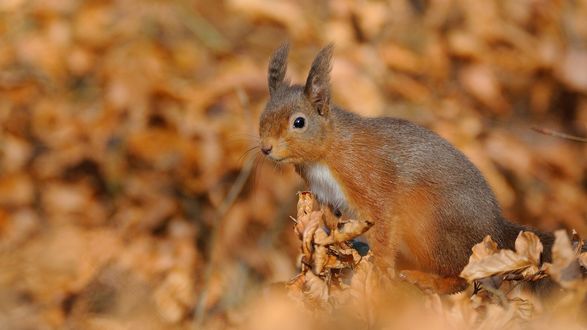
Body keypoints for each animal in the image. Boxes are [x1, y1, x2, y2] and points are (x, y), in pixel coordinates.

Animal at [258, 43, 556, 294]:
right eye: (263, 116)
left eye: (299, 122)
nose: (266, 148)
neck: (324, 155)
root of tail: (494, 229)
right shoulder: (324, 195)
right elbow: (332, 224)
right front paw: (334, 247)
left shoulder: (368, 178)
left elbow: (383, 223)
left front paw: (380, 269)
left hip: (429, 227)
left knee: (462, 275)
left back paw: (428, 279)